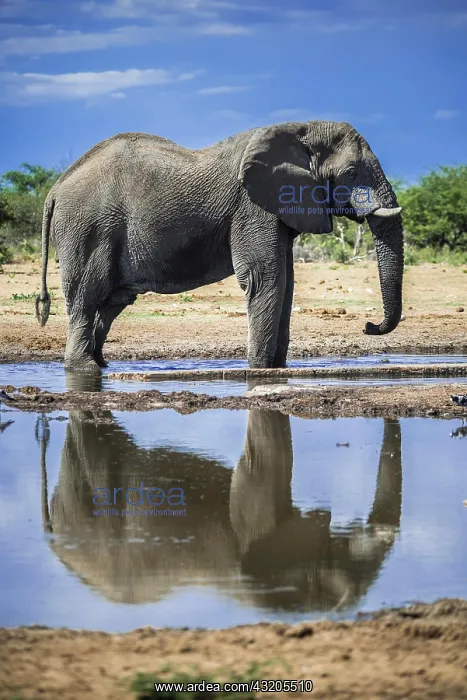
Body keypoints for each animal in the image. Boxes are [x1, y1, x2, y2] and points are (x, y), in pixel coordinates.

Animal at [35, 121, 403, 372]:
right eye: (352, 173)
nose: (369, 326)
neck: (300, 129)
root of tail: (55, 189)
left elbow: (286, 283)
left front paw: (276, 369)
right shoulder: (252, 207)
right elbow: (264, 278)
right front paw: (260, 371)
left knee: (111, 302)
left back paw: (100, 364)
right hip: (88, 228)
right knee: (87, 296)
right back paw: (84, 368)